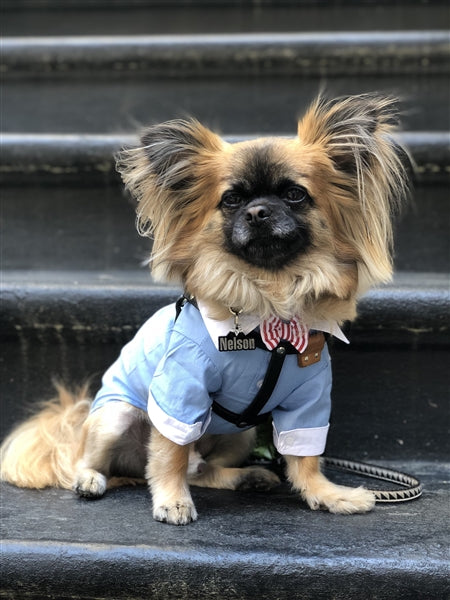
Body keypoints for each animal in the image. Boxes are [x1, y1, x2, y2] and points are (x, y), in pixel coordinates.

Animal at [0, 94, 408, 524]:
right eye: (231, 200)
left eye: (295, 194)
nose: (257, 212)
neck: (269, 303)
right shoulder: (180, 391)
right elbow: (169, 455)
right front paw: (172, 500)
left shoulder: (308, 400)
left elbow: (305, 456)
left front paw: (327, 495)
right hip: (116, 416)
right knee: (94, 460)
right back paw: (90, 480)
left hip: (241, 434)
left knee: (200, 468)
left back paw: (245, 477)